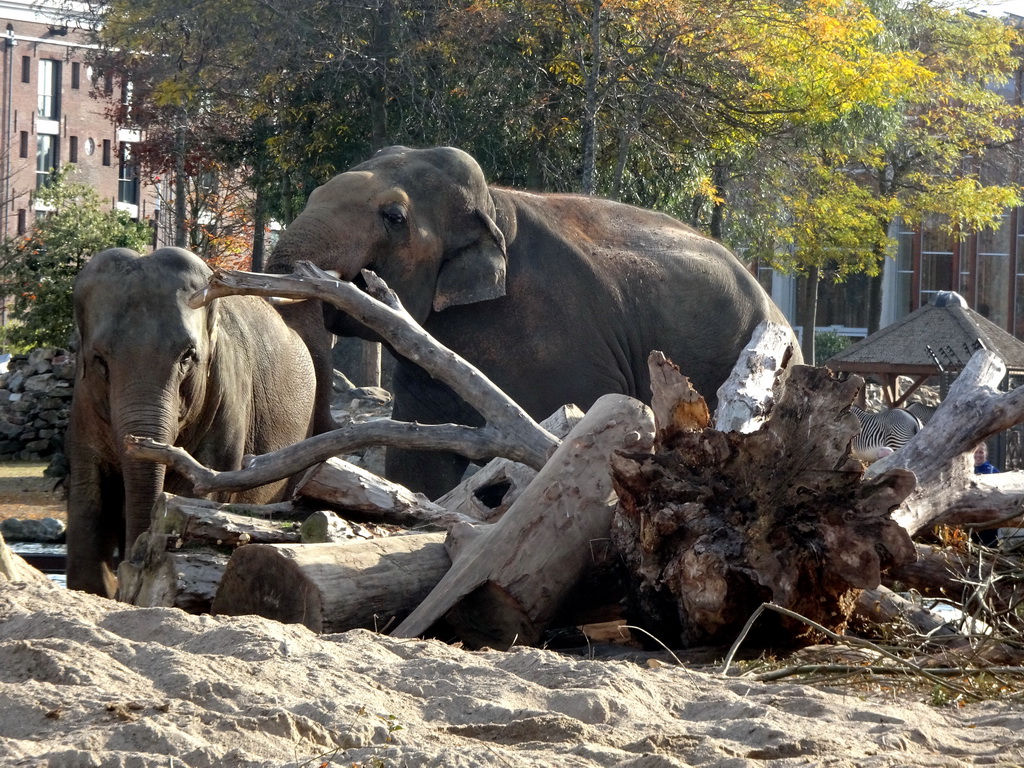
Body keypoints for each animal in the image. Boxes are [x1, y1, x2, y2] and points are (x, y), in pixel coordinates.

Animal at [68, 249, 315, 598]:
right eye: (99, 360)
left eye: (187, 357)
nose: (132, 567)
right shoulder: (83, 407)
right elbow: (88, 494)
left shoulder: (228, 394)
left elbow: (201, 489)